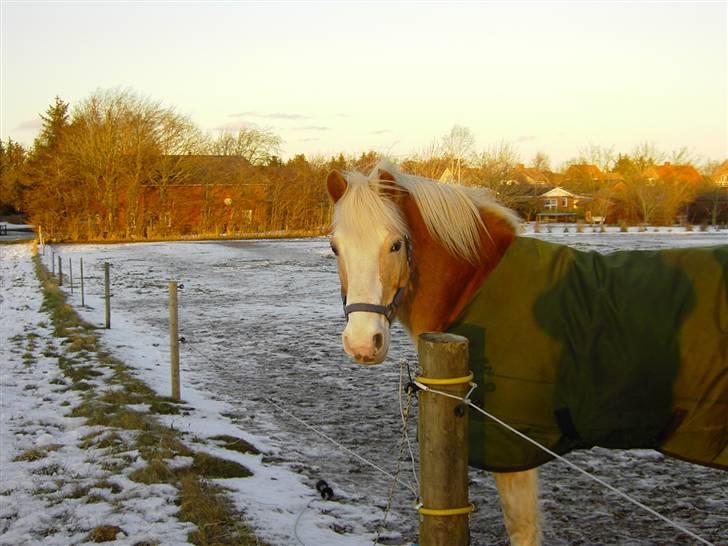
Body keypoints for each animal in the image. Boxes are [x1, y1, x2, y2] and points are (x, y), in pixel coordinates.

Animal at [328, 159, 728, 544]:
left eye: (396, 244)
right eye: (335, 247)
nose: (362, 343)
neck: (478, 282)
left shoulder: (514, 447)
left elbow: (522, 528)